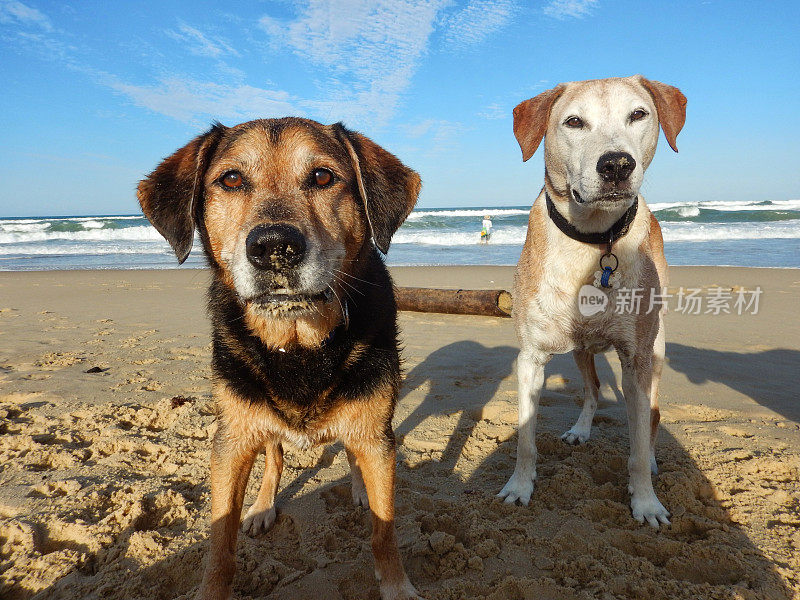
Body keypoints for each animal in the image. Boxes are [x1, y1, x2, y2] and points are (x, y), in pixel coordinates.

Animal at [138, 118, 424, 600]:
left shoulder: (374, 432)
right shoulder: (232, 439)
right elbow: (219, 543)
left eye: (323, 177)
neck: (299, 343)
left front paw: (397, 586)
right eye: (231, 179)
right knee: (274, 456)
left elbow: (384, 532)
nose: (274, 246)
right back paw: (263, 504)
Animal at [496, 74, 684, 524]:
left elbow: (637, 444)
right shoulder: (531, 357)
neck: (594, 240)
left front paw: (645, 501)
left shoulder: (636, 358)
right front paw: (519, 487)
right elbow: (525, 438)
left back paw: (653, 459)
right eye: (574, 122)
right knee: (594, 389)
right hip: (580, 348)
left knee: (651, 415)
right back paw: (581, 429)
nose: (616, 164)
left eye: (639, 114)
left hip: (657, 347)